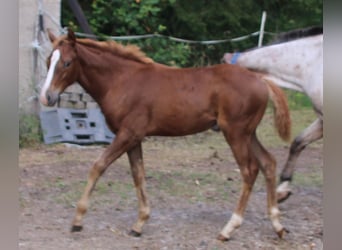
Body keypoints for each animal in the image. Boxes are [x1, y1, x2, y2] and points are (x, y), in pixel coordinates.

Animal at [40, 28, 292, 241]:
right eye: (48, 62)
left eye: (66, 63)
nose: (46, 97)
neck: (122, 80)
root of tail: (260, 79)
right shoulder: (134, 138)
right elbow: (138, 174)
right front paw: (139, 224)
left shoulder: (127, 134)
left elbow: (98, 166)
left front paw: (77, 220)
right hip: (248, 133)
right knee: (268, 163)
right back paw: (277, 226)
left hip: (236, 133)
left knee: (249, 171)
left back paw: (229, 228)